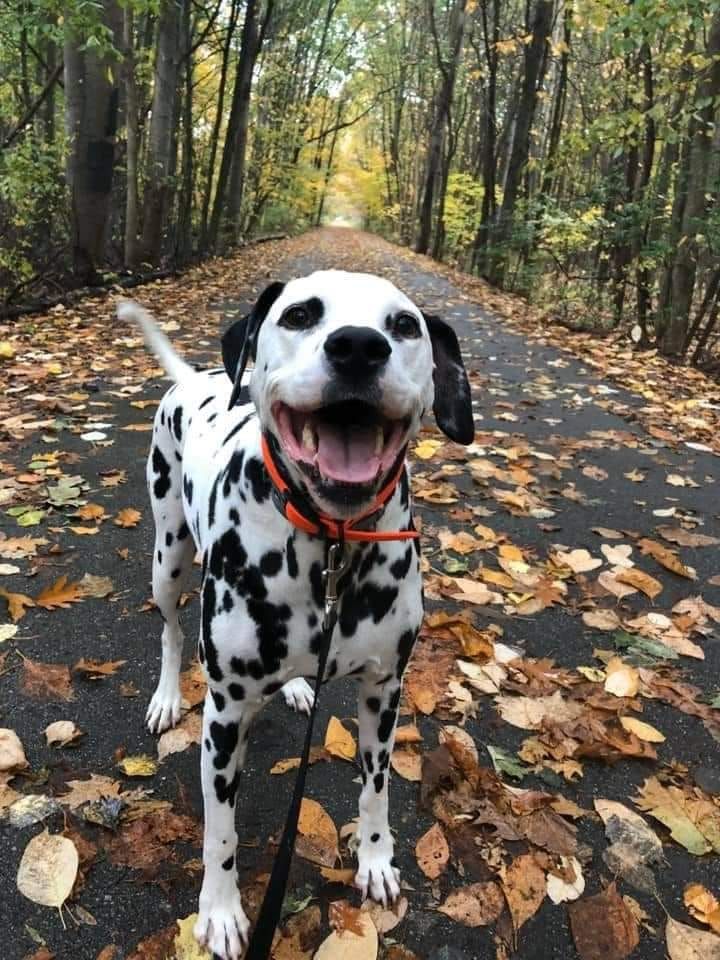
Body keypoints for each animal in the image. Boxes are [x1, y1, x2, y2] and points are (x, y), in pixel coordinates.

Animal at [118, 272, 472, 960]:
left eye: (404, 325)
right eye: (301, 315)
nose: (358, 347)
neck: (330, 542)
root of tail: (193, 378)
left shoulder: (384, 692)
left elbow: (376, 788)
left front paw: (375, 860)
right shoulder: (224, 719)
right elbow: (221, 832)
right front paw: (221, 911)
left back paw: (299, 687)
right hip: (167, 557)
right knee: (171, 631)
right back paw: (168, 696)